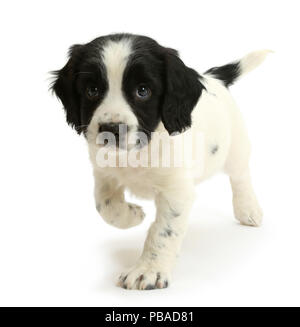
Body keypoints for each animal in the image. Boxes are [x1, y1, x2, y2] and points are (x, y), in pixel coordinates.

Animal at [51, 32, 270, 290]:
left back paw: (248, 208)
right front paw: (132, 215)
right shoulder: (104, 174)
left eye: (143, 91)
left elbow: (163, 231)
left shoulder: (176, 191)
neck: (138, 152)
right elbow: (105, 204)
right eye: (92, 90)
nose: (111, 129)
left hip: (235, 147)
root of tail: (214, 78)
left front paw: (148, 270)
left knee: (241, 176)